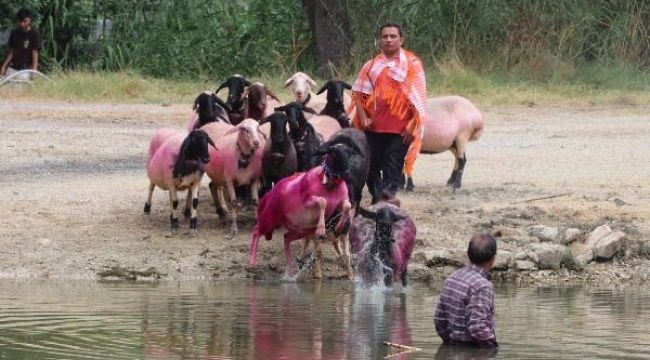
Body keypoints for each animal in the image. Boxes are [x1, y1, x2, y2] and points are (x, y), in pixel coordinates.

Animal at [248, 141, 362, 276]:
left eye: (349, 153)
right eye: (333, 153)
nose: (347, 173)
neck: (330, 185)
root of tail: (269, 193)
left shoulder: (338, 206)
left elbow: (346, 206)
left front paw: (338, 227)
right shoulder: (308, 201)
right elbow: (322, 201)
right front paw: (321, 228)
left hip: (299, 230)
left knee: (286, 238)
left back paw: (291, 269)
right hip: (269, 220)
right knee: (256, 231)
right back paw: (252, 263)